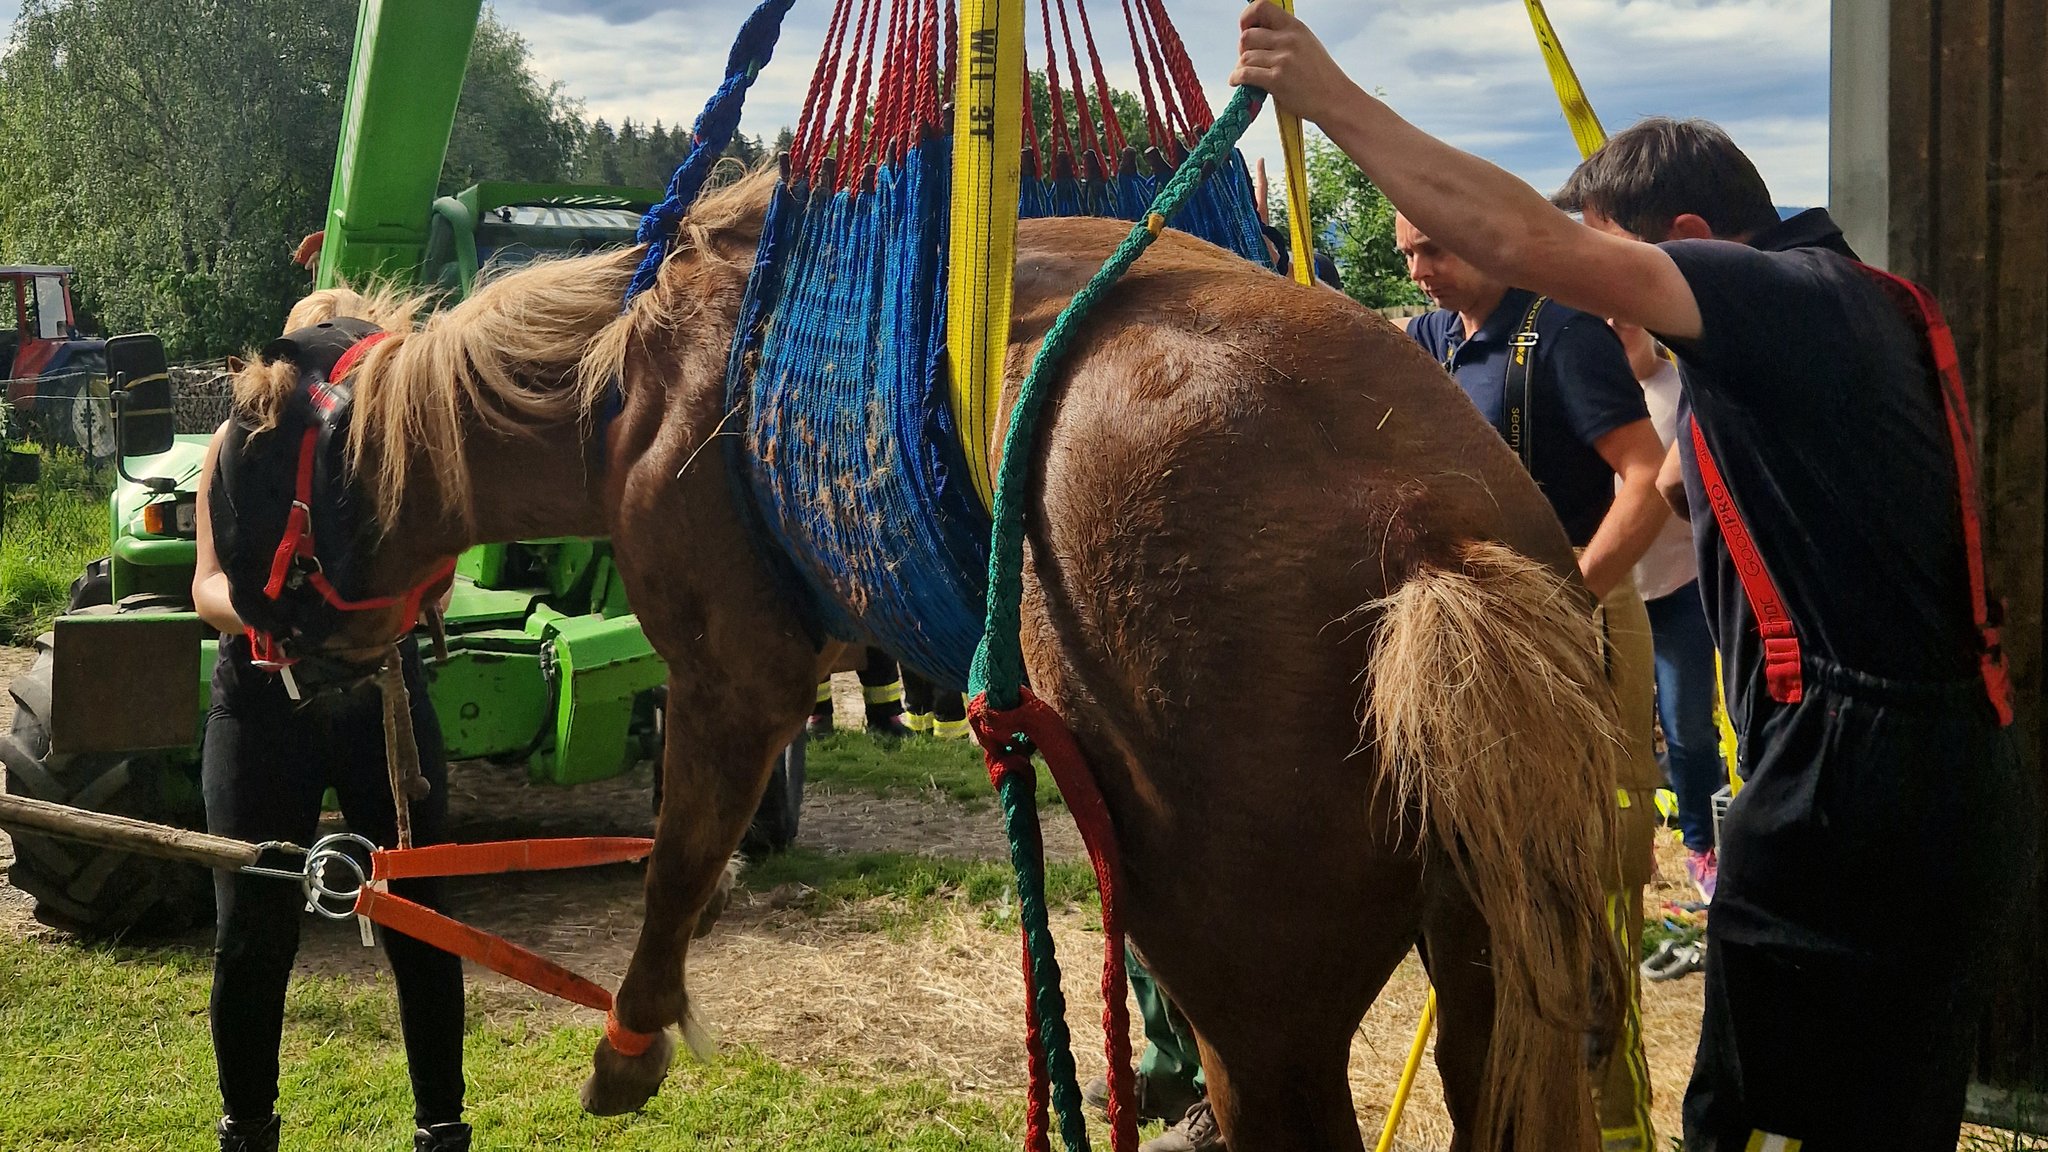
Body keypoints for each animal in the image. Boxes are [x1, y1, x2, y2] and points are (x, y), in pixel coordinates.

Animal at [224, 166, 1622, 1139]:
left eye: (244, 475)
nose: (264, 646)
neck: (629, 378)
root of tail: (1426, 534)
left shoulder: (736, 672)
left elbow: (676, 858)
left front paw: (634, 1034)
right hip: (1491, 960)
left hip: (1260, 1002)